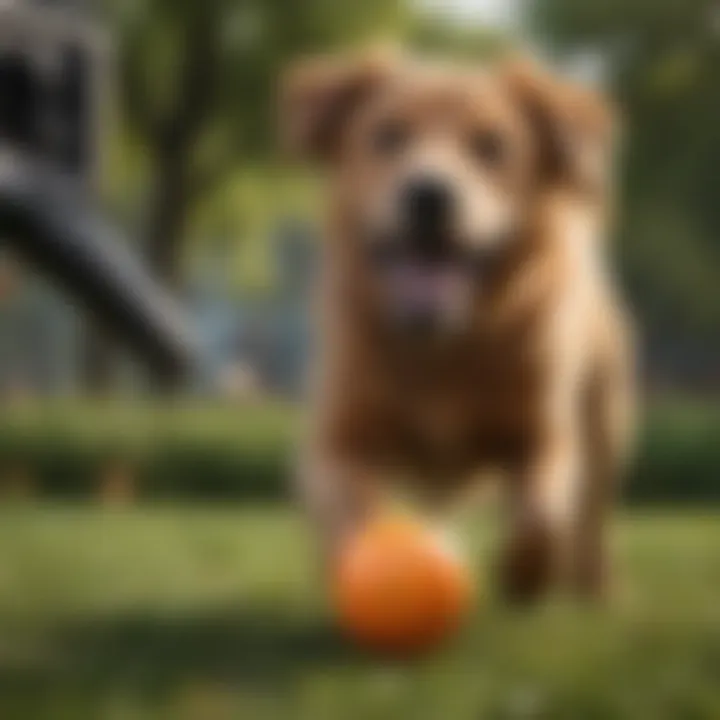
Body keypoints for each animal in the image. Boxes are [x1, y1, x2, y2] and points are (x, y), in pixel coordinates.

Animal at [282, 52, 632, 600]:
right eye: (388, 134)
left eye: (492, 145)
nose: (429, 194)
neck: (445, 348)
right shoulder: (338, 439)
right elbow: (355, 516)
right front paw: (367, 570)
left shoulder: (543, 434)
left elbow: (542, 515)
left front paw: (524, 578)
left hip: (605, 419)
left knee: (592, 517)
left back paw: (596, 590)